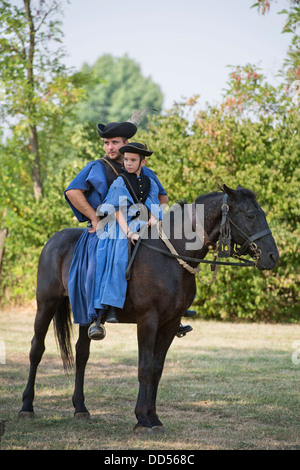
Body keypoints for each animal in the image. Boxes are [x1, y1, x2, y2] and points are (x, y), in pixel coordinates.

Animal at [19, 186, 278, 434]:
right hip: (46, 304)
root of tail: (54, 239)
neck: (171, 256)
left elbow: (156, 369)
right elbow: (144, 368)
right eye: (250, 215)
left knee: (82, 353)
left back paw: (80, 407)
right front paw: (142, 420)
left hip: (85, 314)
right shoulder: (148, 321)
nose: (273, 256)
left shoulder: (170, 323)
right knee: (36, 349)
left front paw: (153, 417)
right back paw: (26, 406)